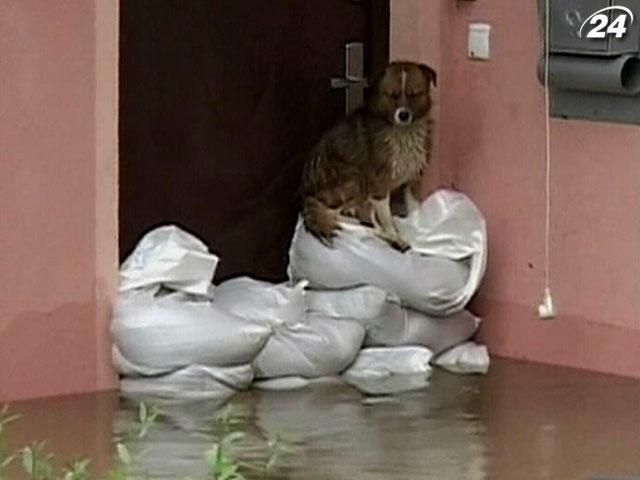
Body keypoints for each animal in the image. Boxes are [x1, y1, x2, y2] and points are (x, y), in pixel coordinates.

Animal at [302, 60, 438, 251]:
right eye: (392, 95)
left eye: (414, 94)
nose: (403, 115)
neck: (403, 132)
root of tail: (307, 196)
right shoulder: (378, 185)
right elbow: (386, 218)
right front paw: (396, 234)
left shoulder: (412, 180)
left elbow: (413, 208)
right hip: (353, 178)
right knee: (344, 219)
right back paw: (391, 238)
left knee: (362, 217)